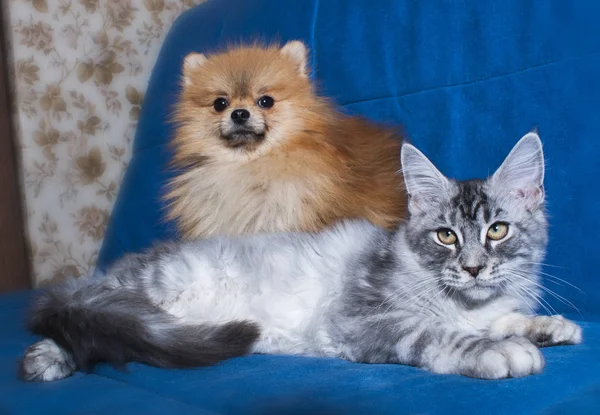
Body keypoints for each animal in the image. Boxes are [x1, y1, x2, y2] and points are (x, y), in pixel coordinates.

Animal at [22, 133, 580, 384]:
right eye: (445, 236)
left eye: (496, 230)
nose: (472, 267)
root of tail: (107, 273)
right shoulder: (363, 317)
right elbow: (439, 334)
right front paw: (500, 351)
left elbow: (509, 318)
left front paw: (548, 327)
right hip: (150, 292)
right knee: (93, 323)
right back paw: (44, 359)